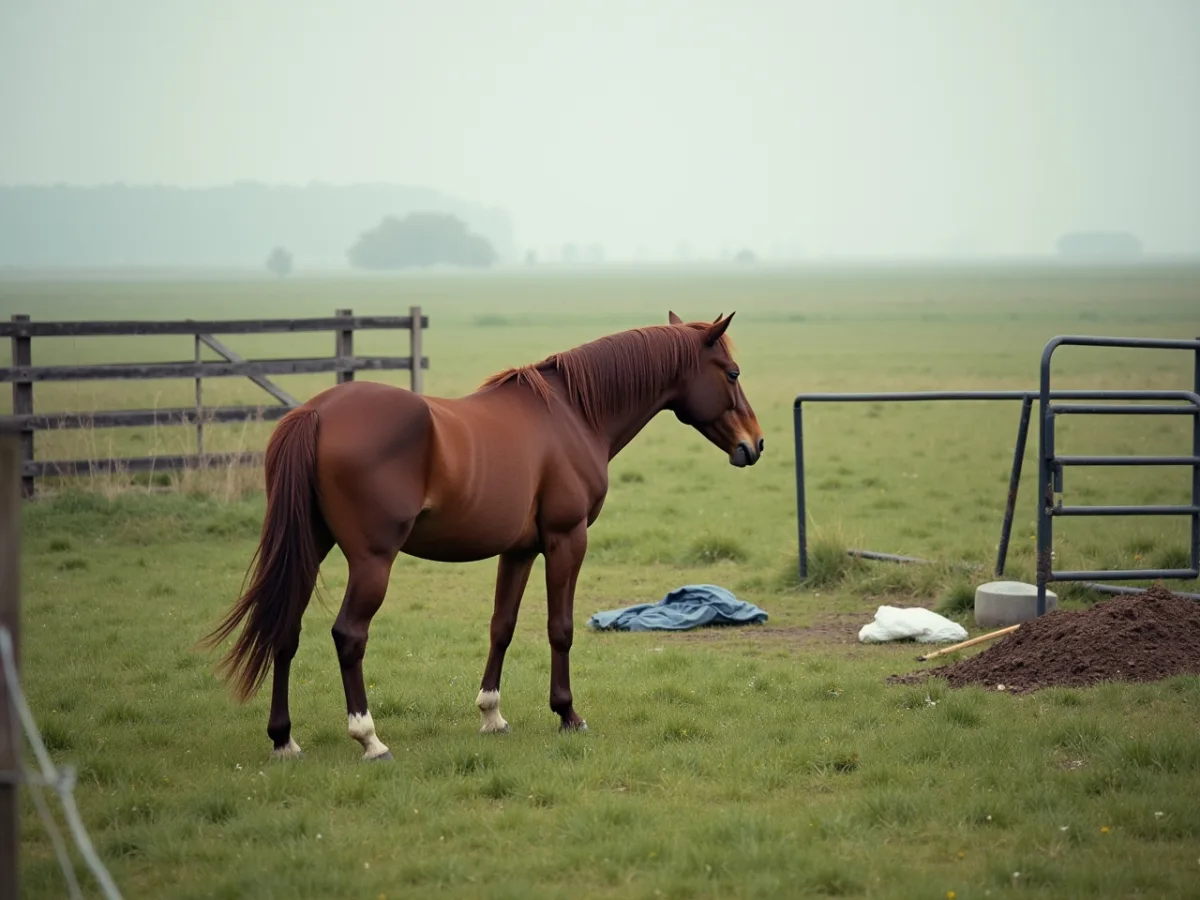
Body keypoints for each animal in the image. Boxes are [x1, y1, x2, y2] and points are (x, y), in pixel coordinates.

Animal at [201, 310, 764, 760]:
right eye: (732, 373)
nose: (754, 444)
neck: (573, 414)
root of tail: (315, 413)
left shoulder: (518, 550)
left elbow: (502, 626)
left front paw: (491, 714)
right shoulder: (566, 539)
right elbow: (560, 627)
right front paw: (568, 714)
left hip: (311, 549)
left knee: (286, 630)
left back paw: (283, 739)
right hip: (371, 560)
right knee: (349, 635)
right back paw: (369, 738)